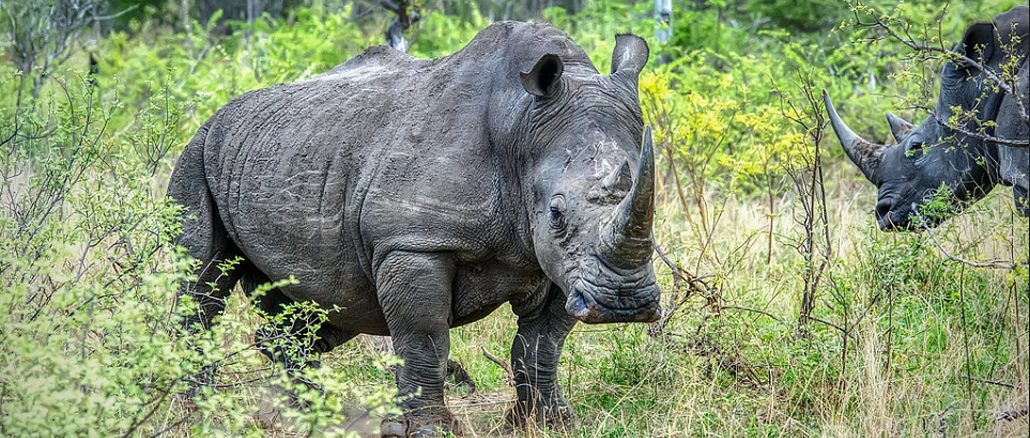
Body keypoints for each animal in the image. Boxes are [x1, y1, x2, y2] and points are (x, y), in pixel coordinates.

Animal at [167, 21, 661, 437]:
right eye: (556, 213)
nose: (624, 303)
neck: (520, 127)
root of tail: (220, 112)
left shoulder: (562, 265)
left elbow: (541, 344)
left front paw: (548, 423)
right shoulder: (413, 244)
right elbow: (425, 338)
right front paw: (427, 431)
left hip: (291, 153)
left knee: (328, 305)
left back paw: (312, 415)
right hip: (198, 151)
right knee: (201, 285)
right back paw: (197, 414)